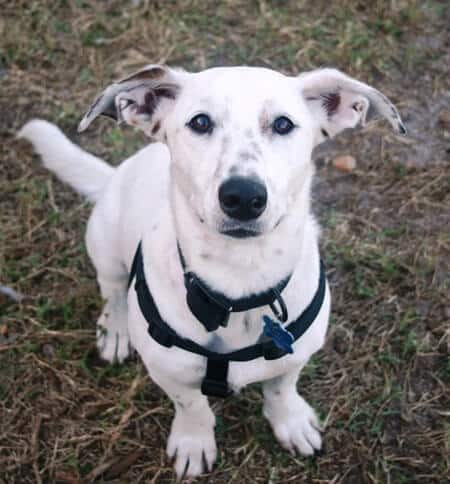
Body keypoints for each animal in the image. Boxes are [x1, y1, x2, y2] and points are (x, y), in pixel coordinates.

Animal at [18, 65, 404, 480]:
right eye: (200, 122)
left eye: (283, 124)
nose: (244, 197)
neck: (238, 279)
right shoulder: (168, 370)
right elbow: (193, 406)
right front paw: (193, 441)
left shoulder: (297, 354)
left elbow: (282, 387)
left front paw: (290, 421)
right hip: (105, 246)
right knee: (114, 291)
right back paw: (116, 331)